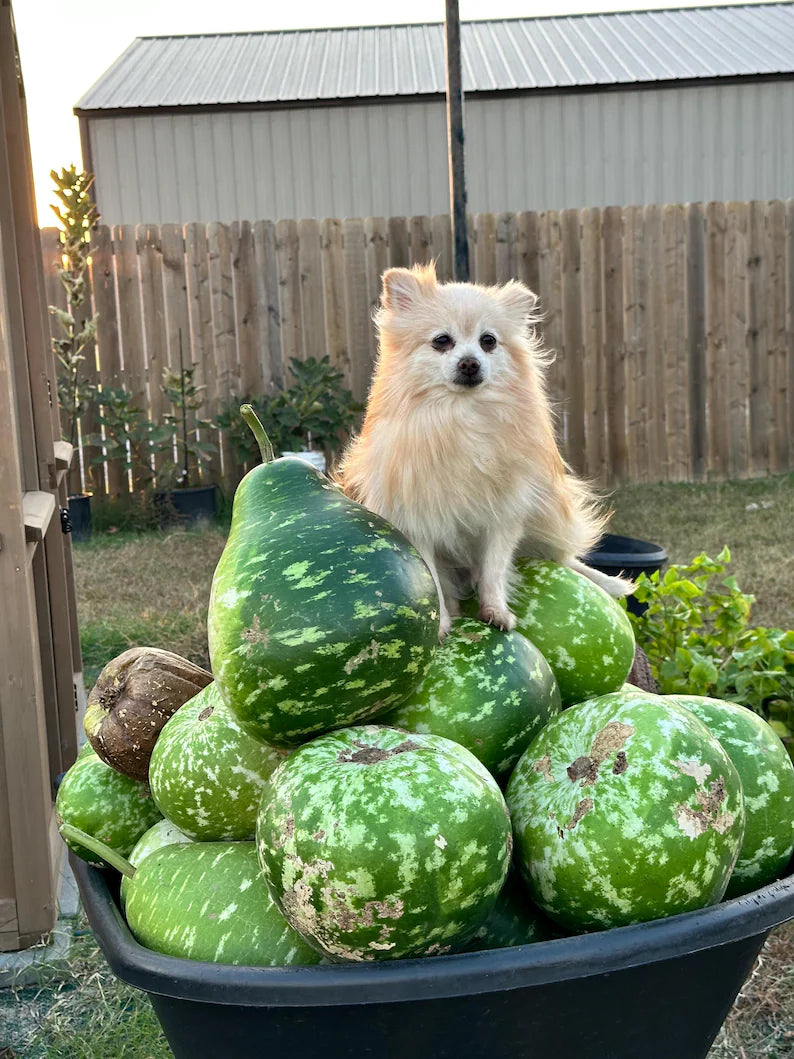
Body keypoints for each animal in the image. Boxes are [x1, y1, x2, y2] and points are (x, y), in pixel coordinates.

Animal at [336, 261, 635, 635]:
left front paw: (495, 610)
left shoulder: (503, 516)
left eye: (488, 341)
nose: (470, 362)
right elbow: (432, 581)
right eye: (442, 341)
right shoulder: (418, 523)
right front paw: (441, 625)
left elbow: (494, 568)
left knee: (562, 558)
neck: (462, 417)